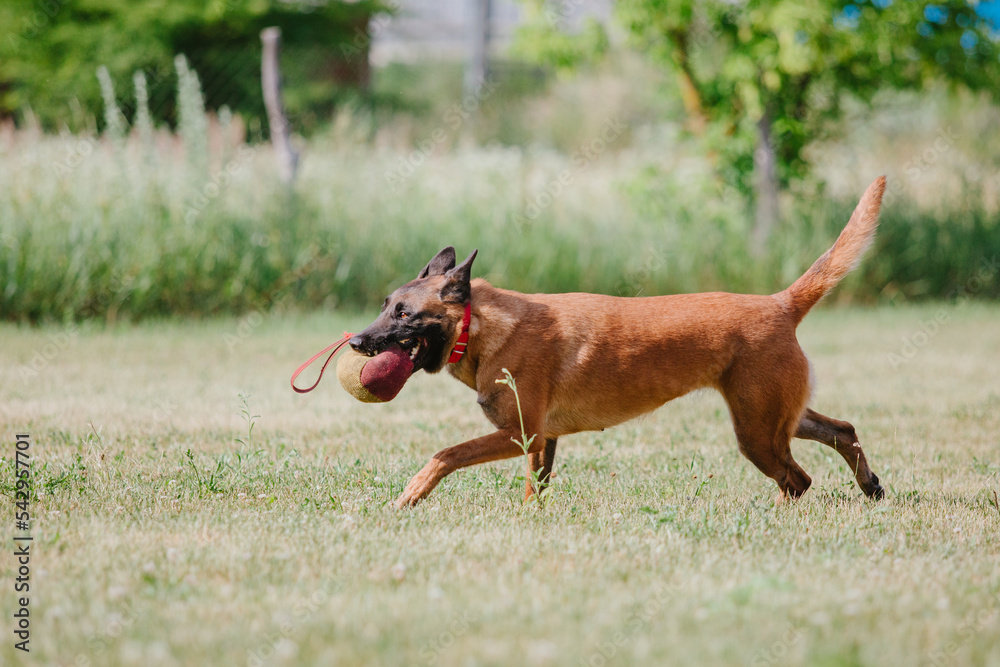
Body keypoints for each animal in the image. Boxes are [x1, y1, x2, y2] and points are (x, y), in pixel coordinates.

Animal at [354, 176, 892, 506]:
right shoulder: (540, 440)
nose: (358, 342)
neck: (483, 326)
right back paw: (870, 486)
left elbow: (443, 454)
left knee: (798, 480)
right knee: (842, 430)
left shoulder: (520, 433)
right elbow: (534, 490)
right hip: (777, 418)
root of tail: (780, 303)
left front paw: (408, 496)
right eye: (385, 305)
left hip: (756, 430)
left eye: (404, 314)